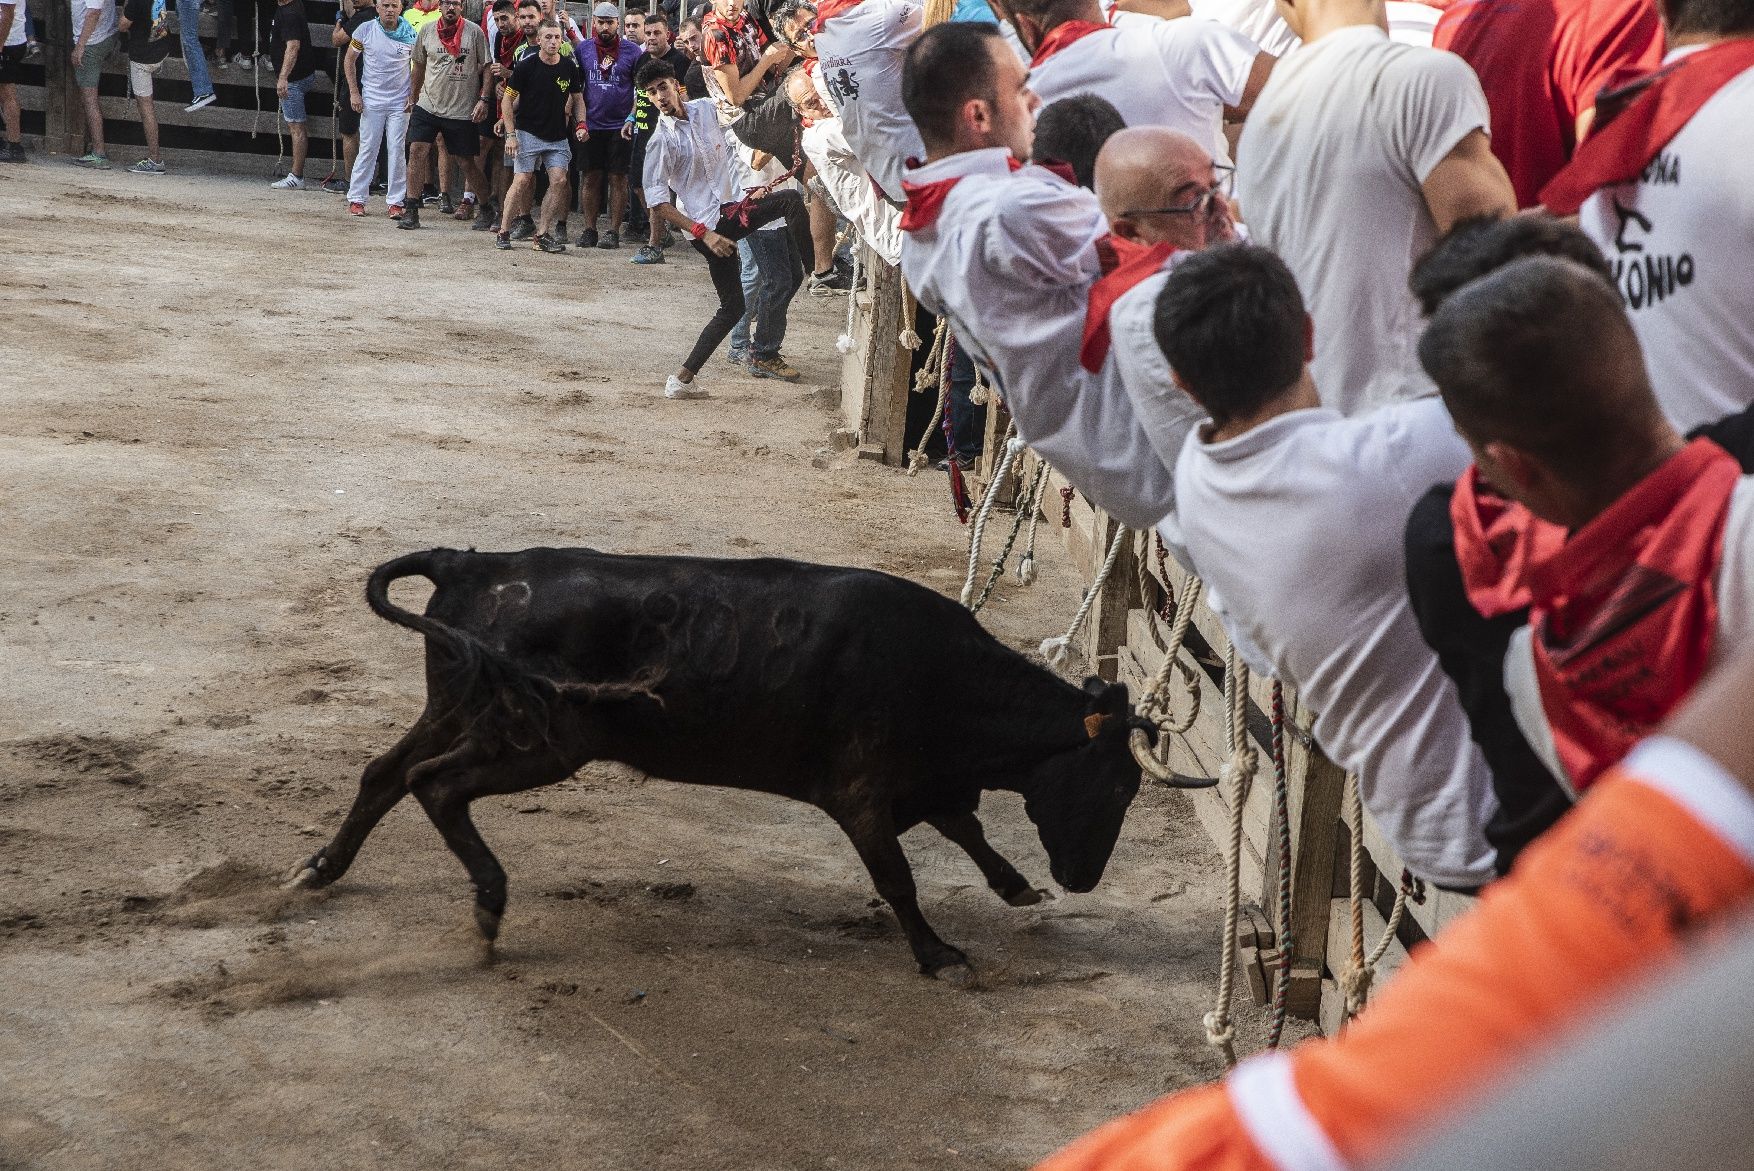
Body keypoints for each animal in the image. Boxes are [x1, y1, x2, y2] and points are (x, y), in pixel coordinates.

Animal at [284, 550, 1164, 981]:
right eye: (1121, 783)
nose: (1084, 877)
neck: (943, 675)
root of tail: (475, 564)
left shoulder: (924, 784)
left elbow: (968, 829)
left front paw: (1016, 888)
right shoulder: (861, 794)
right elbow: (900, 878)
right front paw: (938, 955)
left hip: (464, 706)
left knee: (386, 772)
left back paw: (320, 869)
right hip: (542, 738)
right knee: (433, 783)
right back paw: (489, 908)